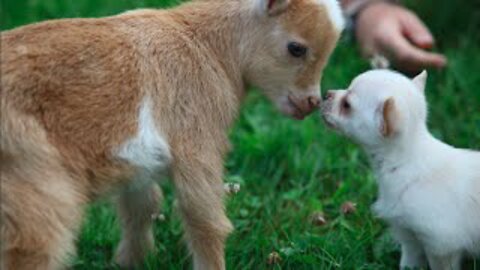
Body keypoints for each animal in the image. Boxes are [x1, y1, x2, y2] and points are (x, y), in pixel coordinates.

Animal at [0, 0, 344, 268]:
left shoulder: (137, 162)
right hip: (37, 181)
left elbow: (142, 207)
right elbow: (204, 218)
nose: (311, 102)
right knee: (31, 247)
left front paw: (130, 262)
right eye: (296, 48)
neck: (207, 46)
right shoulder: (196, 137)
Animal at [320, 70, 480, 270]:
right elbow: (408, 262)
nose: (326, 93)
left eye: (347, 105)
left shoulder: (441, 246)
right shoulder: (409, 236)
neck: (404, 163)